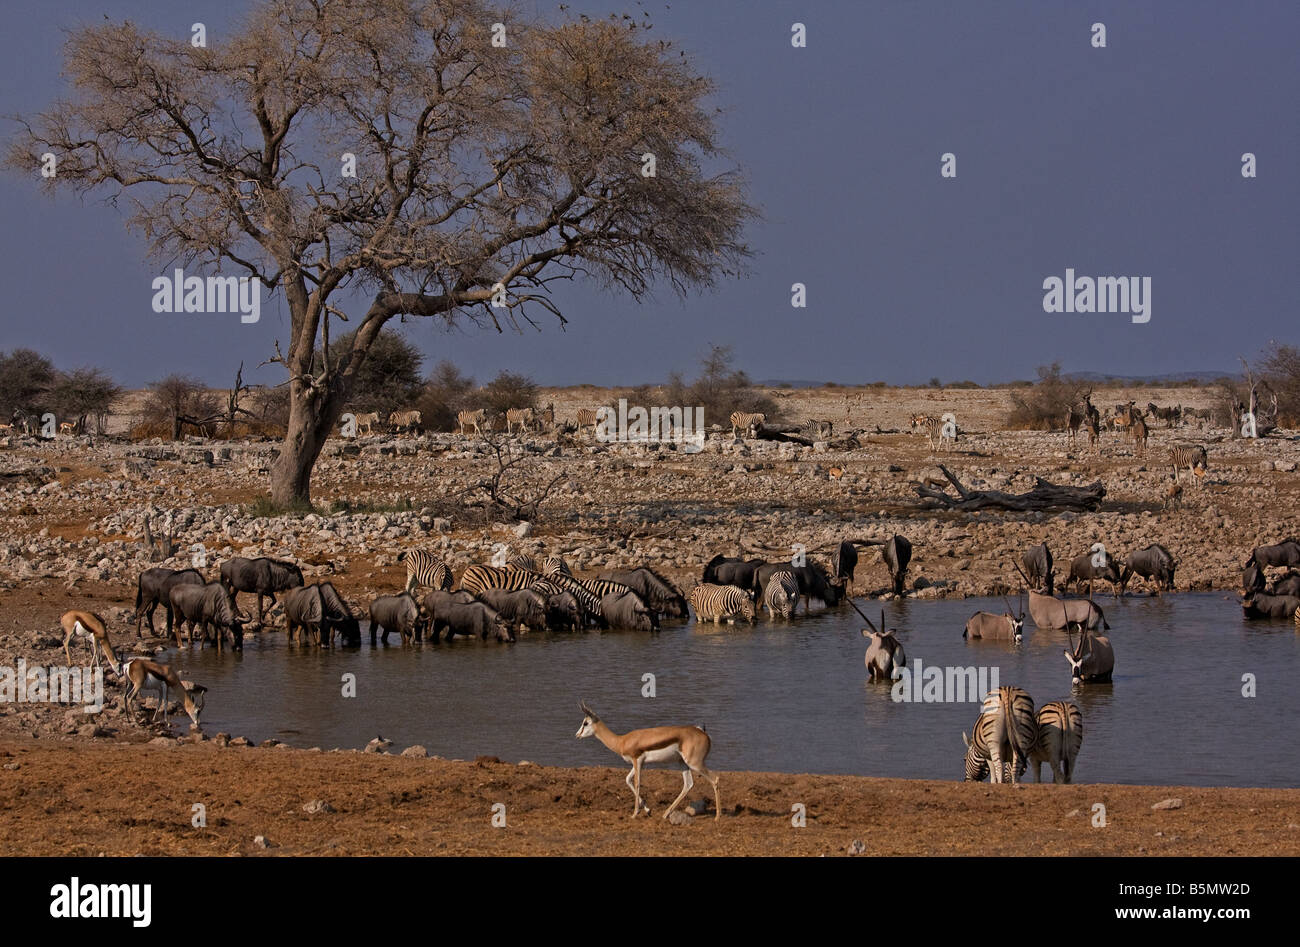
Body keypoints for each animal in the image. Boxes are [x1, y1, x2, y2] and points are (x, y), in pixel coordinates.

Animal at [577, 697, 722, 816]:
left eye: (585, 723)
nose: (577, 735)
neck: (621, 741)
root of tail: (703, 733)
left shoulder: (637, 760)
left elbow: (637, 783)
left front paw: (635, 813)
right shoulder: (637, 763)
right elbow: (628, 780)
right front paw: (647, 810)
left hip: (694, 763)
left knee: (715, 779)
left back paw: (718, 817)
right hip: (682, 763)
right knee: (688, 784)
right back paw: (665, 814)